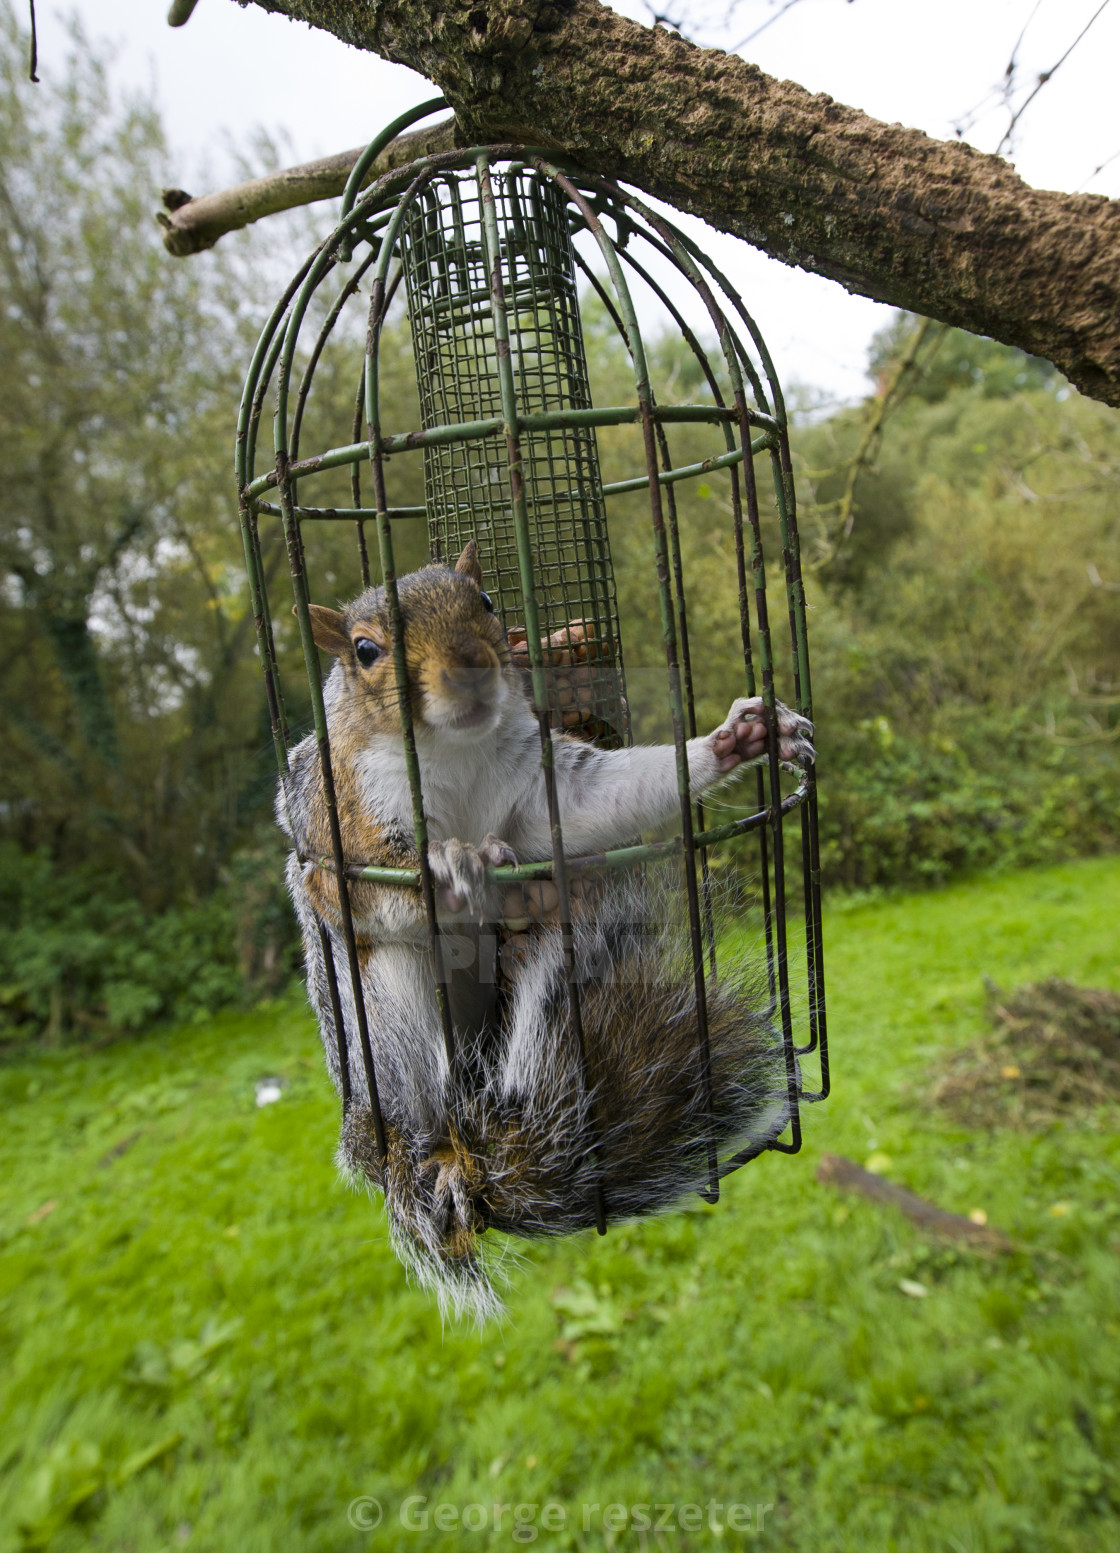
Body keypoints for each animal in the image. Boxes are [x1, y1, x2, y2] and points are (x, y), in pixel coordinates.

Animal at [278, 541, 815, 1321]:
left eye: (487, 602)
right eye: (365, 650)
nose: (471, 665)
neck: (454, 752)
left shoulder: (538, 784)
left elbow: (597, 798)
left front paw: (736, 739)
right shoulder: (345, 812)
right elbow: (360, 886)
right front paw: (453, 866)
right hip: (389, 1020)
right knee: (425, 1100)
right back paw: (439, 1150)